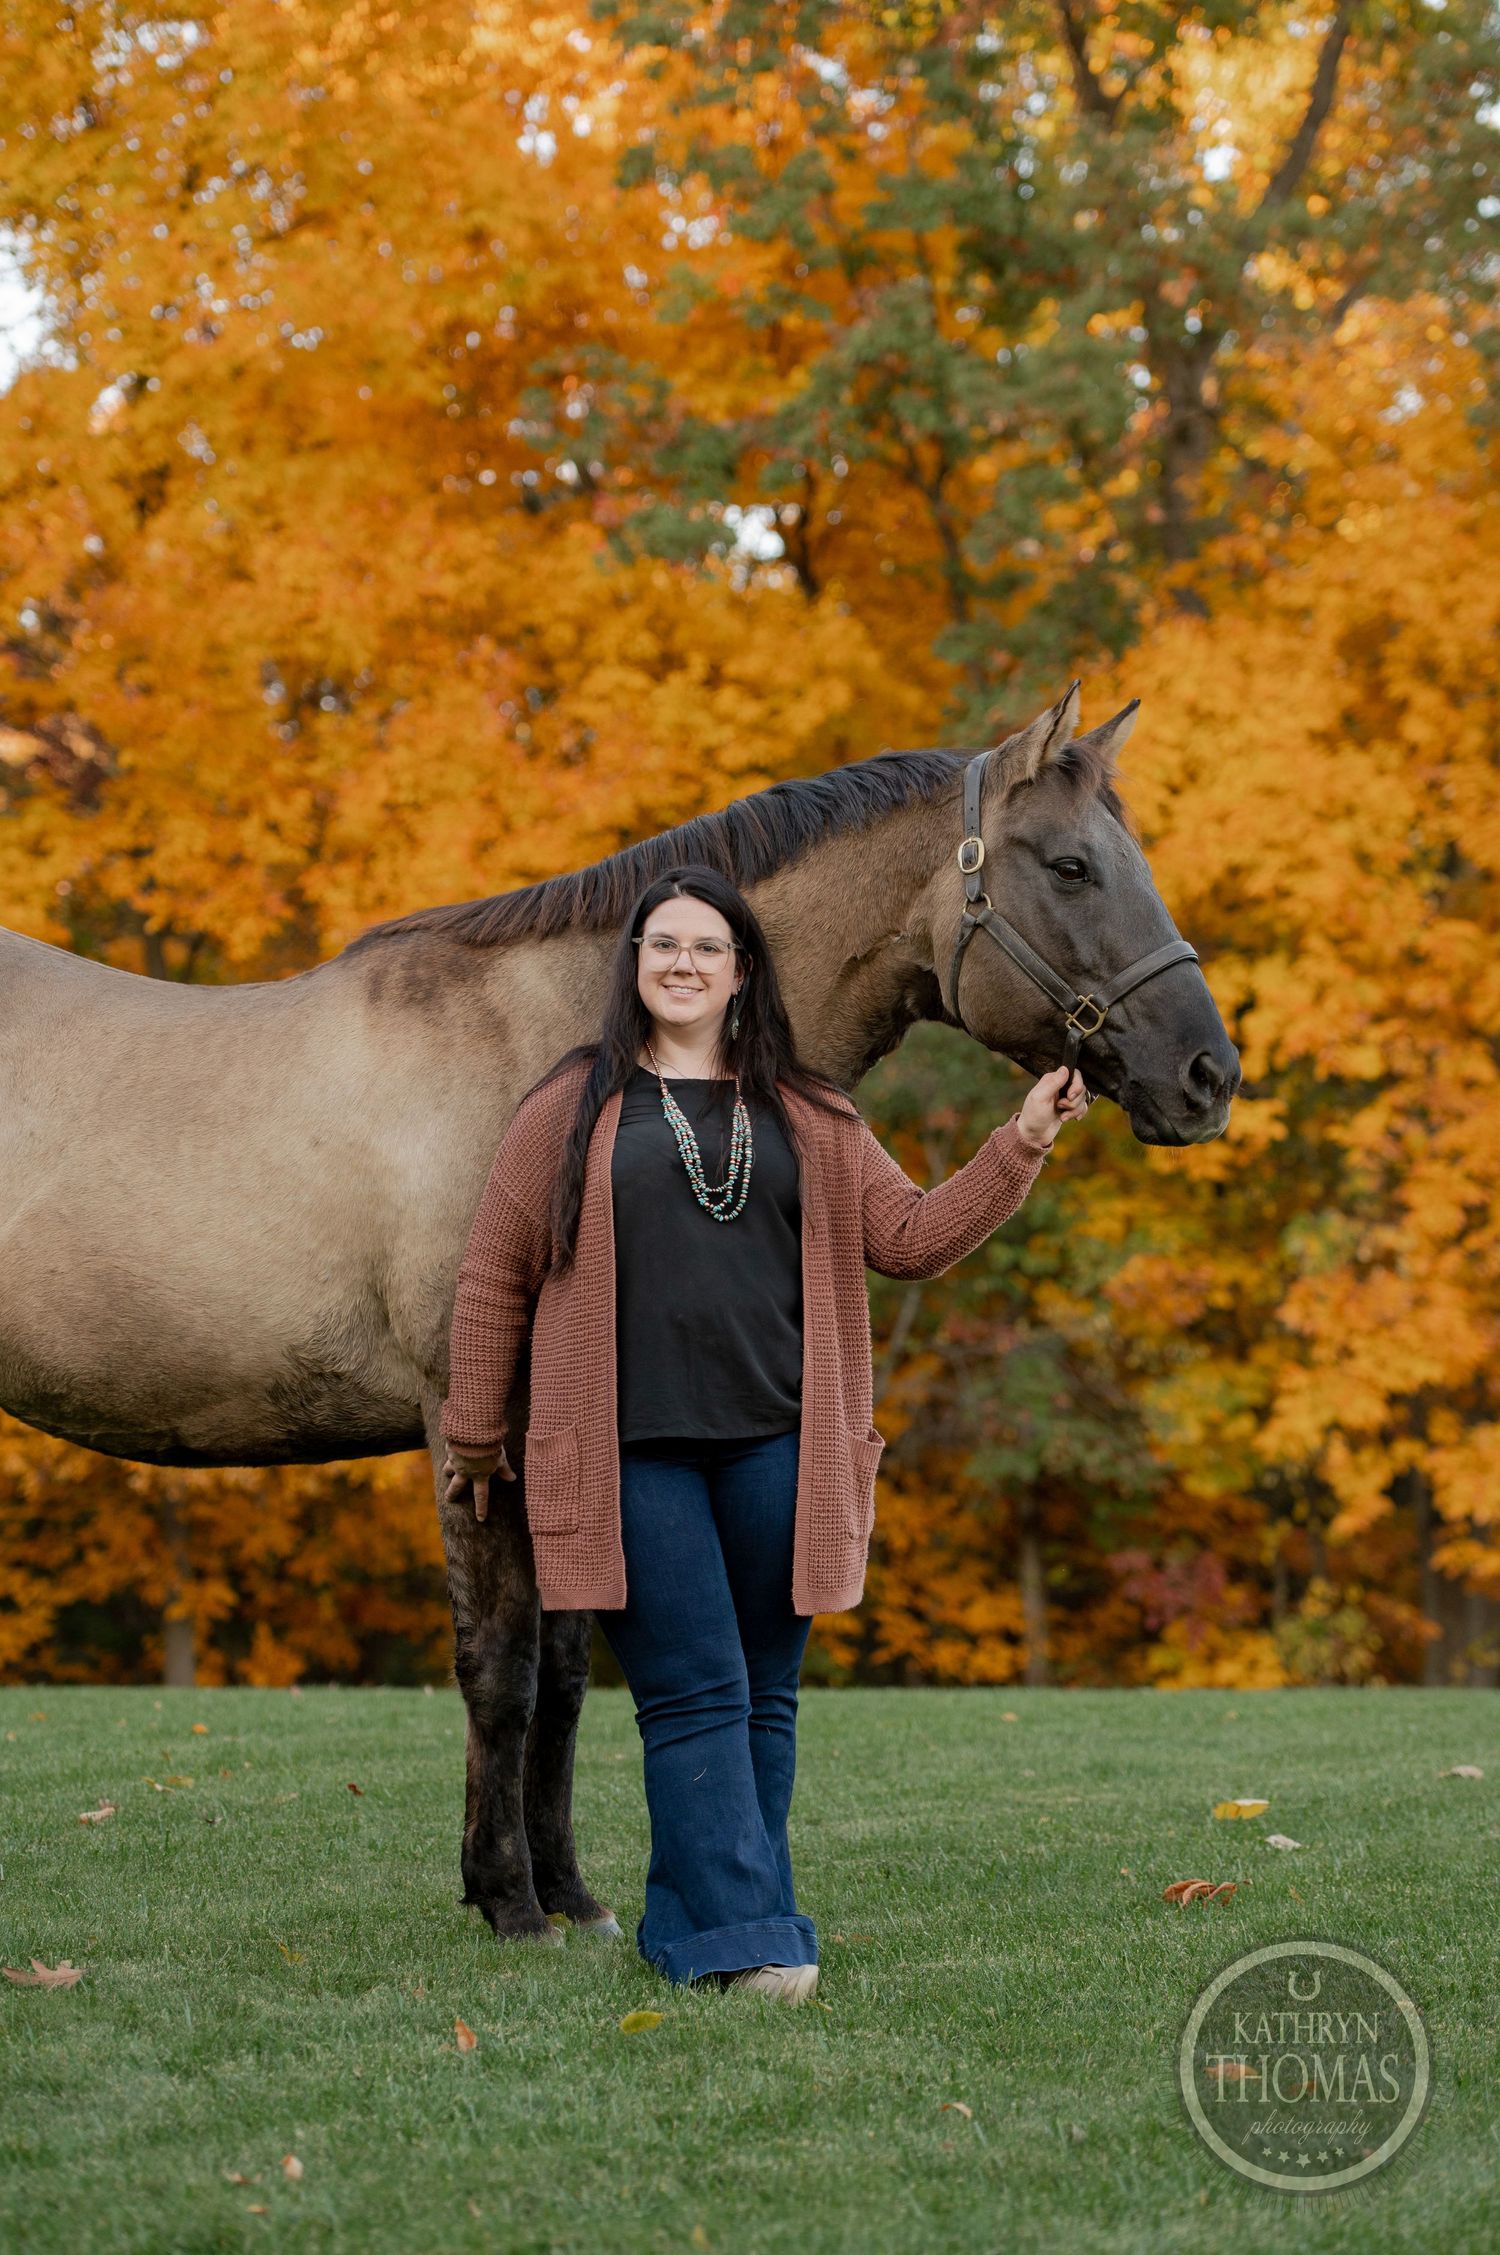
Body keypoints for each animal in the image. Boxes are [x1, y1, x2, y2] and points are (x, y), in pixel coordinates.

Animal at [0, 685, 1239, 1942]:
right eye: (1072, 865)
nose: (1208, 1073)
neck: (541, 1049)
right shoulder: (477, 1429)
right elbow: (499, 1667)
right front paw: (506, 1898)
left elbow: (565, 1670)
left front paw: (567, 1891)